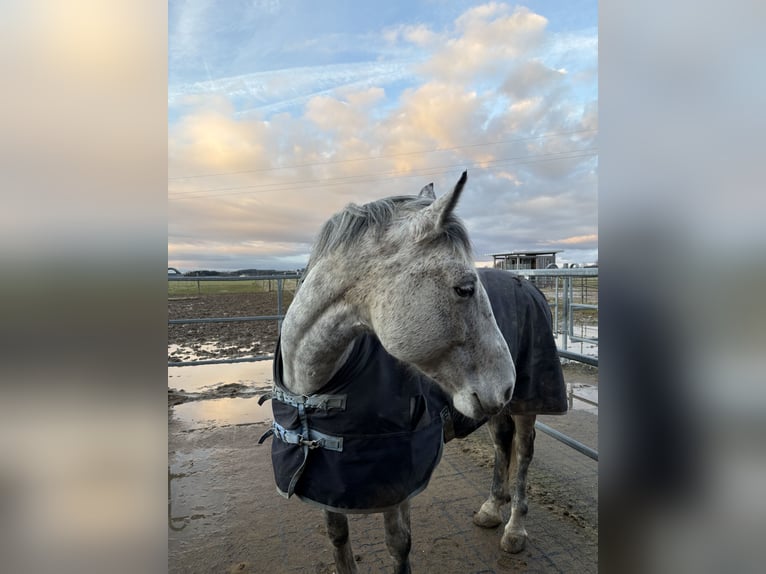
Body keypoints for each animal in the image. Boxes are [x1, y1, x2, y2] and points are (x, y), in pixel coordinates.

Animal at [259, 172, 567, 573]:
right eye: (465, 288)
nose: (506, 384)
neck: (314, 390)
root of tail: (527, 283)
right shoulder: (328, 483)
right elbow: (338, 539)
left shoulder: (397, 486)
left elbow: (398, 545)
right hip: (496, 410)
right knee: (503, 442)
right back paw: (491, 509)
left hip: (526, 404)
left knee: (524, 453)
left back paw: (515, 528)